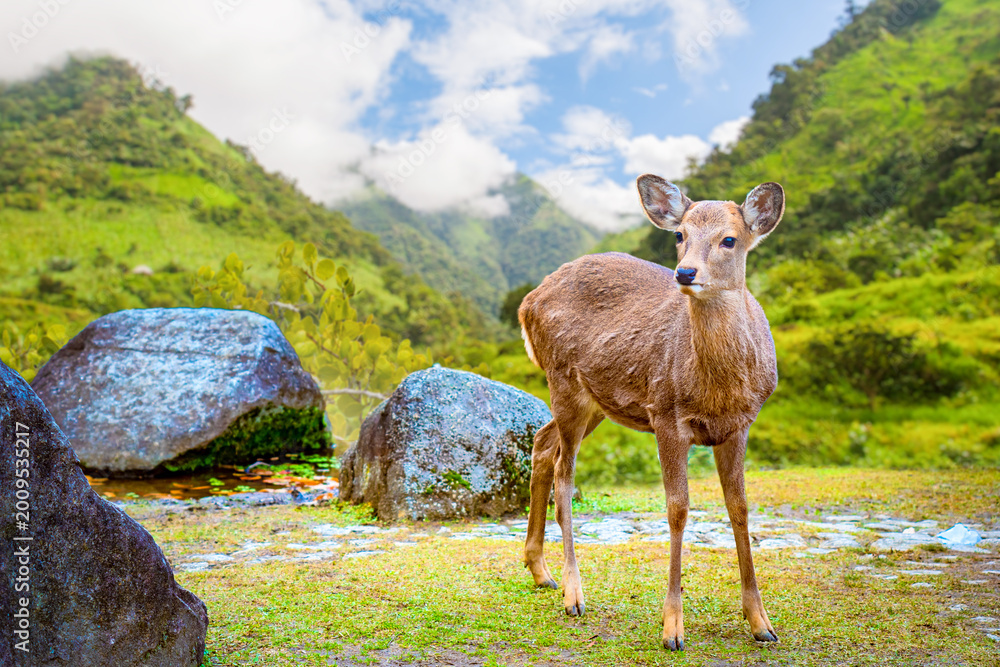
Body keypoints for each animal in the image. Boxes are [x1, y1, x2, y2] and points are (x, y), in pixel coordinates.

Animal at [517, 174, 784, 650]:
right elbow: (677, 509)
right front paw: (673, 628)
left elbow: (739, 507)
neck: (716, 390)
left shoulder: (740, 424)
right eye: (680, 235)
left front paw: (761, 623)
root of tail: (526, 303)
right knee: (565, 473)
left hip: (595, 403)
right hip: (563, 380)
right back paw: (572, 593)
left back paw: (539, 571)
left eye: (729, 239)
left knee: (543, 442)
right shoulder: (665, 414)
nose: (685, 273)